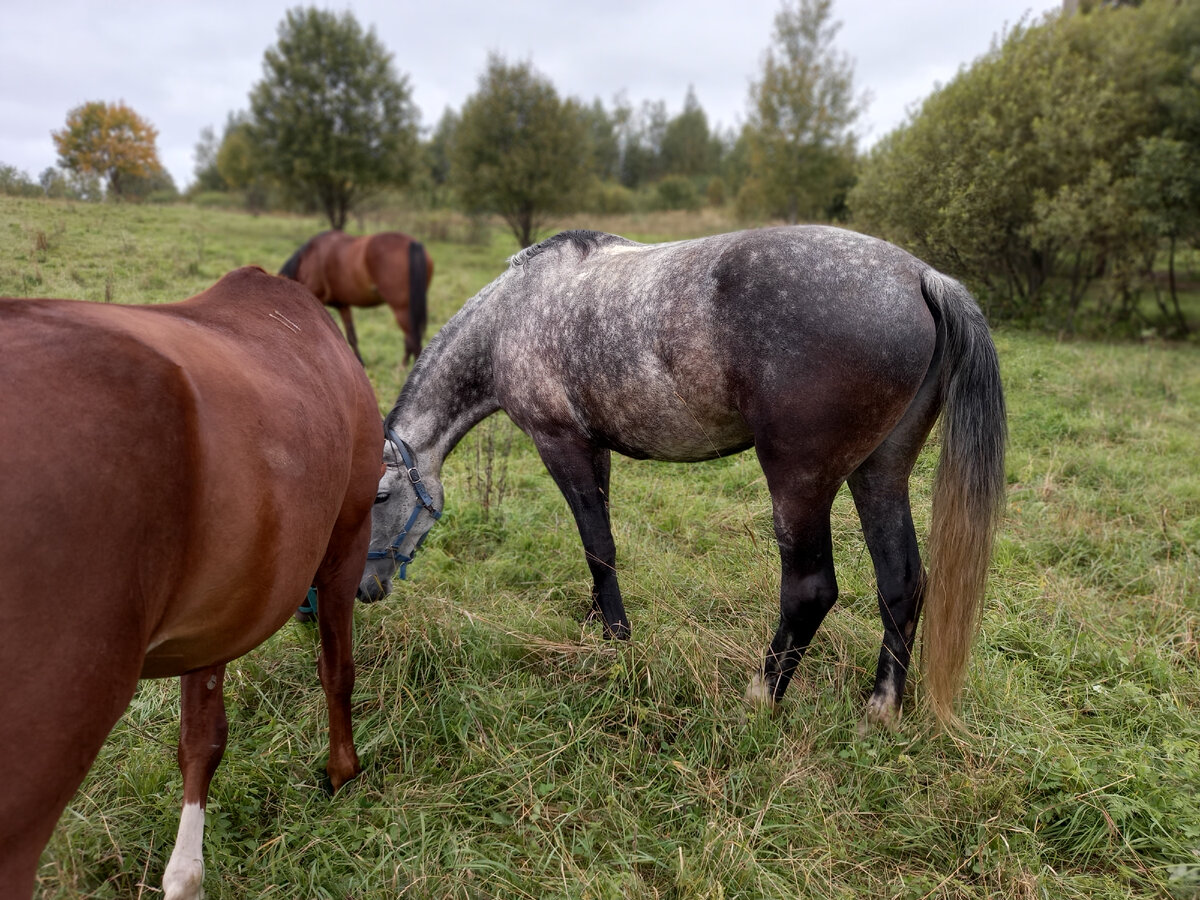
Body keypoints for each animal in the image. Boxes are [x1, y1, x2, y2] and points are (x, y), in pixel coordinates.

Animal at [0, 267, 381, 900]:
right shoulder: (344, 546)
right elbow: (337, 669)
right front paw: (342, 771)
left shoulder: (218, 614)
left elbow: (202, 741)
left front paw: (186, 876)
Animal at [278, 232, 434, 367]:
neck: (309, 258)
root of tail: (412, 243)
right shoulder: (343, 305)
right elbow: (351, 336)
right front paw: (360, 363)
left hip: (401, 308)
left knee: (413, 339)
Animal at [362, 225, 1003, 734]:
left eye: (381, 495)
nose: (366, 590)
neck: (512, 316)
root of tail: (920, 277)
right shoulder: (595, 449)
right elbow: (600, 545)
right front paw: (599, 621)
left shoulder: (560, 444)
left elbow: (597, 544)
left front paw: (617, 639)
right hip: (881, 474)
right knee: (901, 583)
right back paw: (879, 710)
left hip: (800, 483)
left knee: (810, 591)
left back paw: (760, 697)